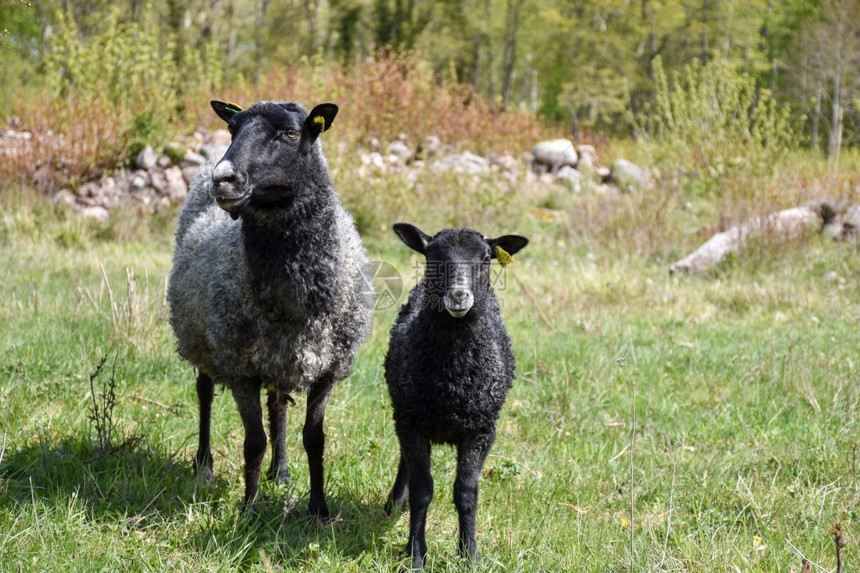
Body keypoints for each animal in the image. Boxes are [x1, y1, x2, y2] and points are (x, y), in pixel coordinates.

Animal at [166, 100, 372, 516]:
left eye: (291, 133)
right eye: (232, 129)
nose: (224, 179)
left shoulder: (328, 368)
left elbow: (314, 438)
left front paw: (319, 508)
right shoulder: (240, 367)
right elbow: (253, 442)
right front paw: (249, 510)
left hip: (281, 355)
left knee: (278, 406)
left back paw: (281, 473)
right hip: (203, 339)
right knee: (204, 392)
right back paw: (205, 465)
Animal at [384, 222, 532, 568]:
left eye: (486, 258)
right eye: (432, 256)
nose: (459, 295)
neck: (453, 379)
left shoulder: (481, 429)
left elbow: (466, 491)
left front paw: (469, 554)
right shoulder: (412, 423)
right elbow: (423, 490)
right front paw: (416, 555)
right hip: (404, 409)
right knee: (405, 462)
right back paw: (395, 504)